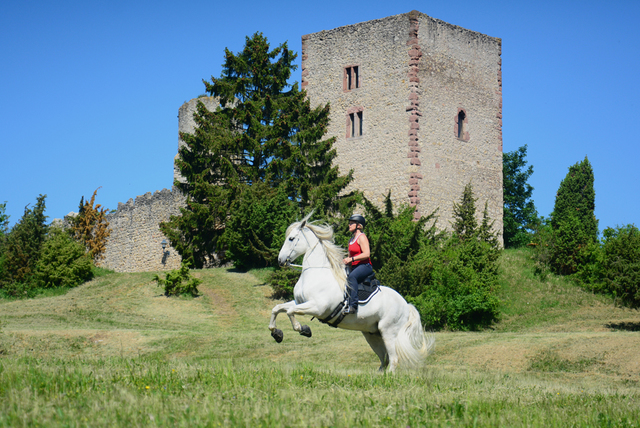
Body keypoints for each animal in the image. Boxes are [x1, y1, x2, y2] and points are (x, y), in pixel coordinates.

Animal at [264, 213, 436, 372]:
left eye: (291, 239)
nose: (280, 261)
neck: (316, 272)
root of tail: (405, 304)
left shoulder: (317, 307)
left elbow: (290, 312)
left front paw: (303, 329)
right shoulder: (300, 302)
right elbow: (278, 308)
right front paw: (276, 333)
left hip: (389, 332)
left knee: (393, 359)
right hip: (372, 334)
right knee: (384, 358)